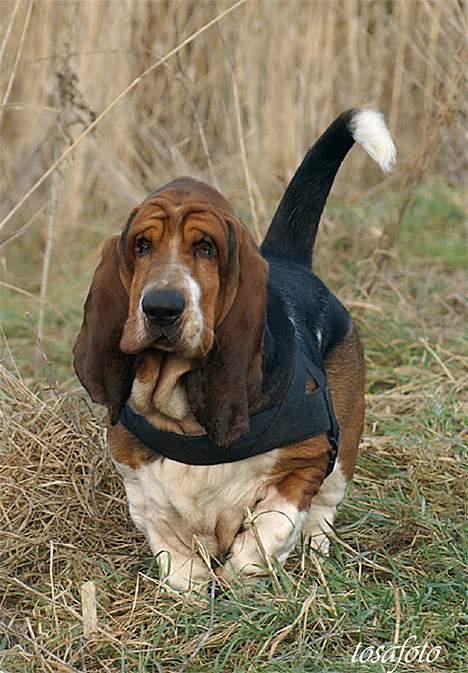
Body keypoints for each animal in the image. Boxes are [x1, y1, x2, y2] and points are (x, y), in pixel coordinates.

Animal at [73, 106, 394, 588]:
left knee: (323, 509)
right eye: (141, 246)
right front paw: (192, 589)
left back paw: (315, 552)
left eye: (206, 248)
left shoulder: (305, 462)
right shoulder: (141, 488)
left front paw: (242, 575)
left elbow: (270, 528)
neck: (183, 417)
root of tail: (289, 262)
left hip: (344, 448)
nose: (162, 307)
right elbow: (172, 550)